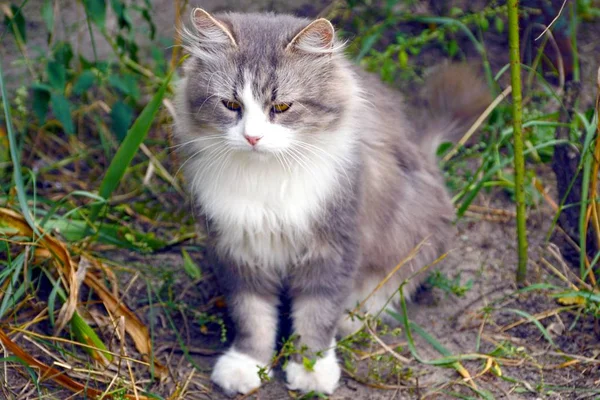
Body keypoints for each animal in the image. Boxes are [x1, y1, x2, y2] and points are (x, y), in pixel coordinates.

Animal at [173, 8, 492, 396]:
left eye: (281, 106)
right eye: (231, 105)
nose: (252, 137)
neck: (267, 178)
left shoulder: (334, 245)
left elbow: (317, 314)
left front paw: (312, 370)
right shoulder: (239, 247)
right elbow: (252, 316)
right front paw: (247, 366)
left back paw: (354, 318)